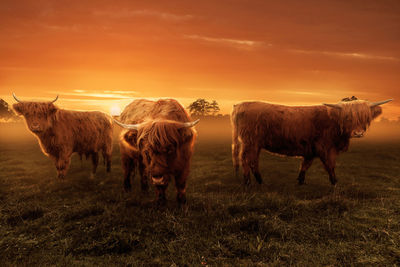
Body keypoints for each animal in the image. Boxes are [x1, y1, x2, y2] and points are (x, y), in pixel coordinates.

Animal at [231, 98, 390, 186]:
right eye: (348, 117)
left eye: (365, 117)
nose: (358, 133)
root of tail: (240, 105)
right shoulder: (326, 148)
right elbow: (330, 166)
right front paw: (335, 183)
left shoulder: (310, 149)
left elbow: (305, 165)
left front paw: (300, 181)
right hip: (250, 142)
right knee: (246, 160)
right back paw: (249, 182)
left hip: (255, 144)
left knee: (252, 161)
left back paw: (259, 181)